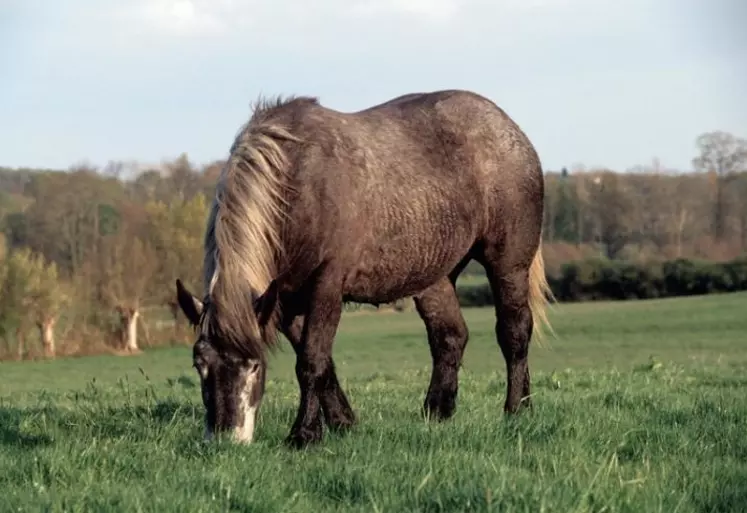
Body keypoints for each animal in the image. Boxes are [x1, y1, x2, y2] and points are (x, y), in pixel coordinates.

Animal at [175, 89, 553, 448]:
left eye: (254, 365)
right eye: (199, 364)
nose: (226, 437)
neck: (297, 185)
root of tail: (508, 127)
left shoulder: (326, 287)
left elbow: (311, 361)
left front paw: (304, 434)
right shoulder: (283, 304)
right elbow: (322, 362)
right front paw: (342, 422)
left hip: (508, 264)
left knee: (514, 331)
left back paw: (516, 409)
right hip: (435, 276)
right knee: (450, 336)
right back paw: (439, 411)